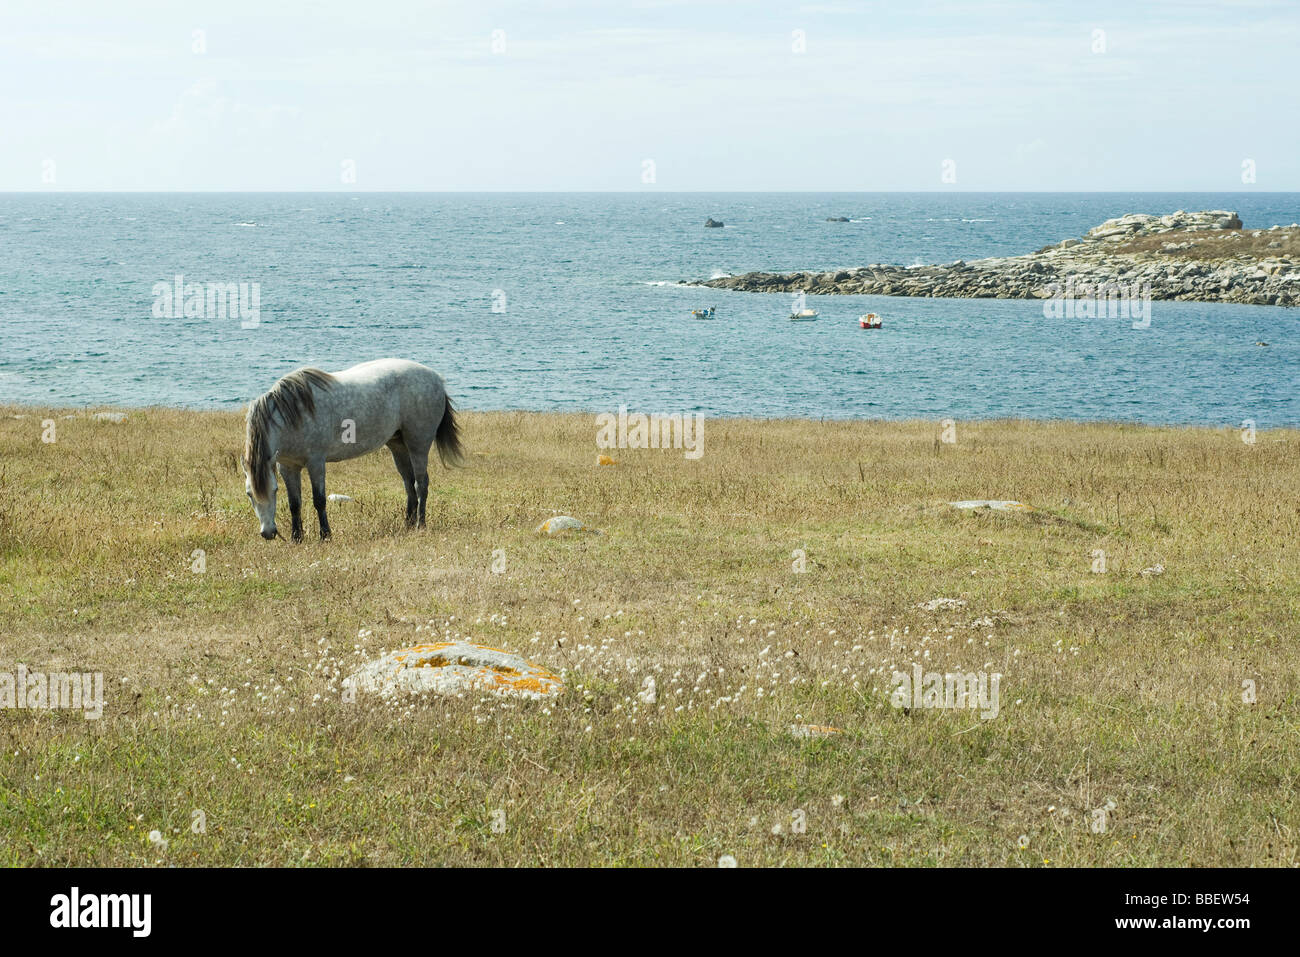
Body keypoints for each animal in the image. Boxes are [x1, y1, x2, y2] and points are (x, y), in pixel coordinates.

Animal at [240, 356, 462, 538]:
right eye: (249, 494)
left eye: (274, 490)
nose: (268, 533)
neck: (292, 416)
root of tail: (437, 379)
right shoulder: (287, 467)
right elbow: (295, 503)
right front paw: (297, 538)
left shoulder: (316, 463)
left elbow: (319, 500)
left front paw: (325, 535)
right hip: (398, 446)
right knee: (409, 483)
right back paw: (407, 524)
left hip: (418, 444)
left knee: (420, 483)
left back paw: (420, 525)